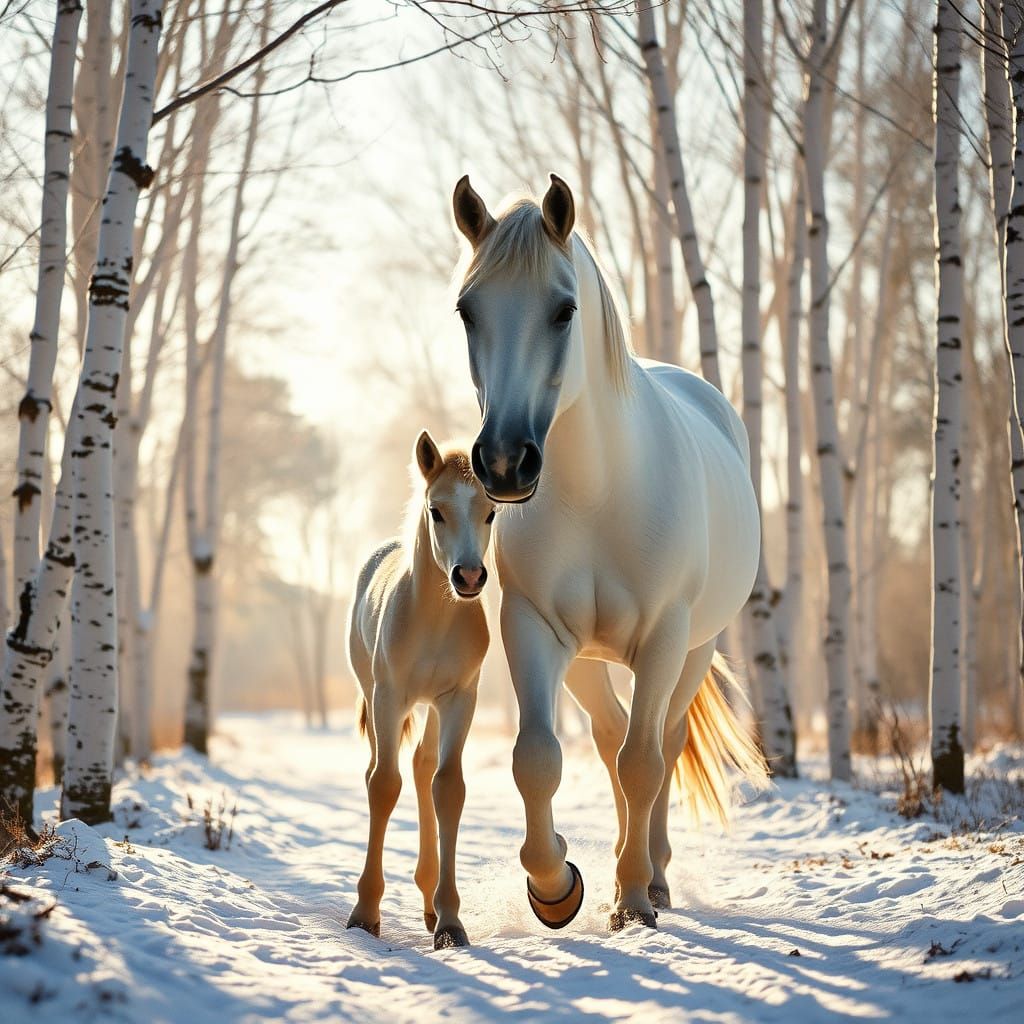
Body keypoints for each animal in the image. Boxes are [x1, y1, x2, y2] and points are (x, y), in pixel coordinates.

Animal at [346, 431, 495, 949]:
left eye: (491, 512)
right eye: (437, 510)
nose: (468, 577)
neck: (433, 619)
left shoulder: (460, 700)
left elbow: (447, 787)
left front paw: (449, 921)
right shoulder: (390, 698)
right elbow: (383, 785)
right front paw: (364, 913)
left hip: (431, 706)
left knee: (423, 766)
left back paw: (430, 900)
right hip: (374, 694)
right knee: (381, 770)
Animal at [450, 173, 770, 931]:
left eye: (564, 310)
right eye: (467, 311)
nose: (503, 462)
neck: (597, 495)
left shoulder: (663, 638)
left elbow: (645, 763)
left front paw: (632, 897)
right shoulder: (532, 628)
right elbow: (538, 758)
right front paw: (555, 884)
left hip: (694, 651)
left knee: (661, 742)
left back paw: (656, 877)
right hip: (589, 664)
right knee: (610, 736)